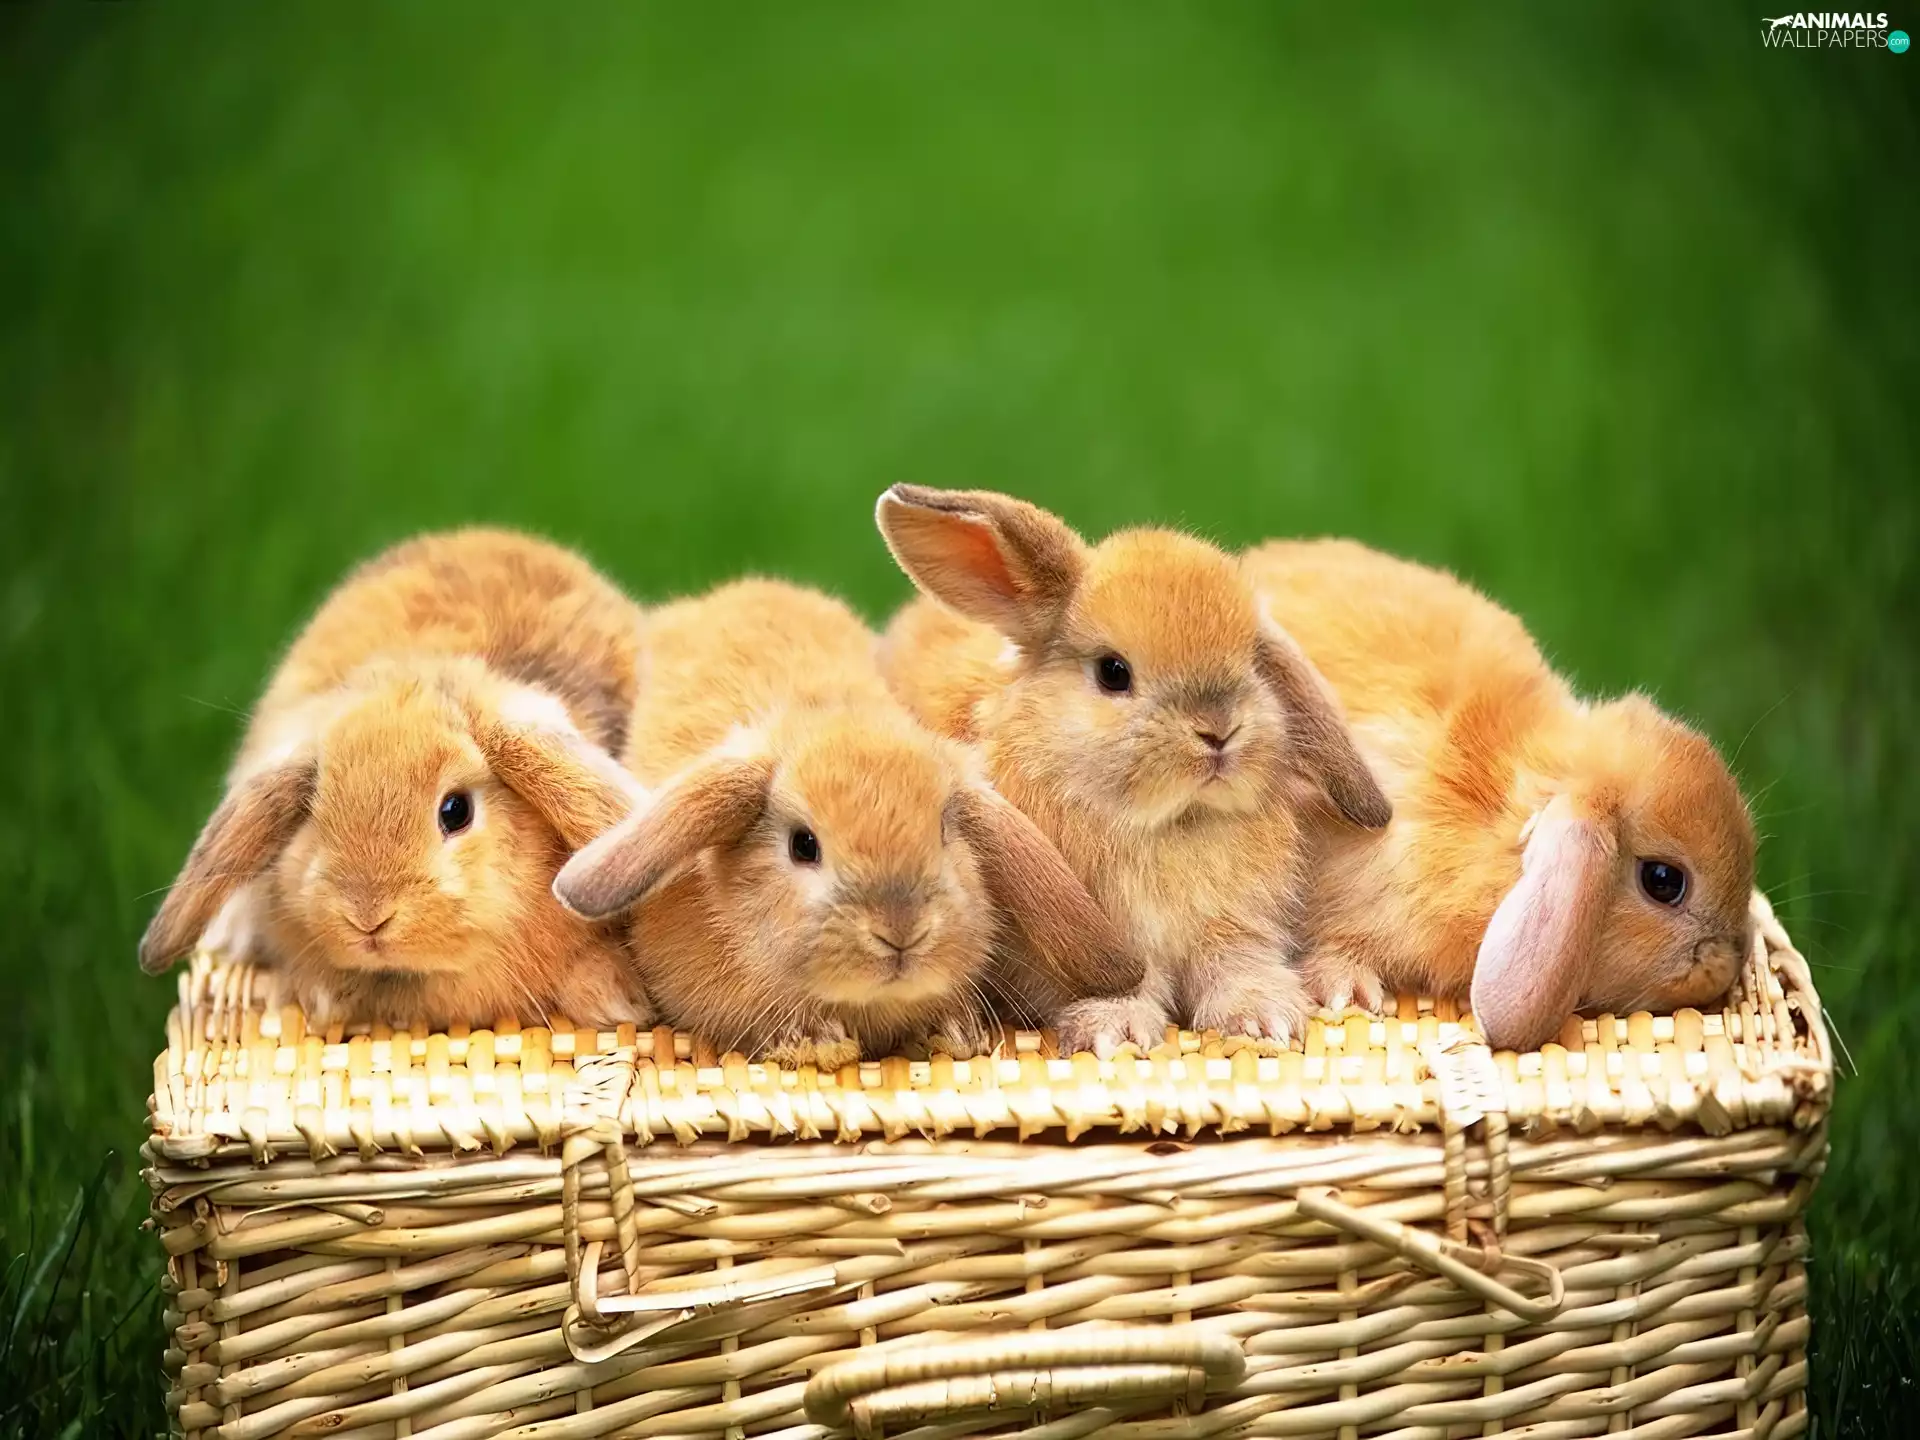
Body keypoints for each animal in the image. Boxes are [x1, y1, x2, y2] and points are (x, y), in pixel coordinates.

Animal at [875, 486, 1393, 1058]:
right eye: (1113, 672)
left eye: (1251, 662)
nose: (1219, 730)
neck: (1169, 824)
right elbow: (1123, 987)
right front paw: (1116, 1031)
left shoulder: (1235, 927)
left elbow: (1237, 965)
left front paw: (1264, 1018)